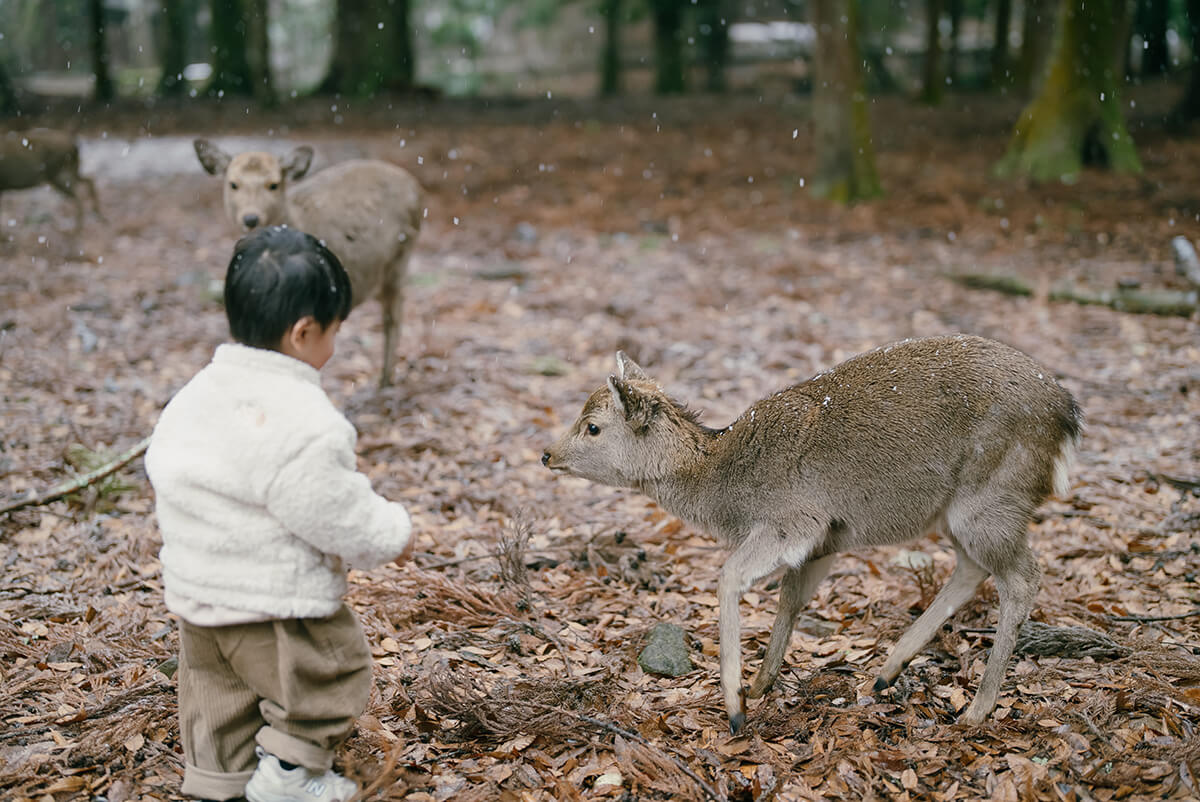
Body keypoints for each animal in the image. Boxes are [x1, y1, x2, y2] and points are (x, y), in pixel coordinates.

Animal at [194, 138, 424, 388]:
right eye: (233, 184)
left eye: (273, 184)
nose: (251, 218)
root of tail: (416, 188)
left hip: (401, 256)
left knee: (394, 314)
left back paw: (385, 382)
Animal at [540, 331, 1084, 734]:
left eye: (592, 426)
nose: (547, 454)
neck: (723, 488)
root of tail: (1068, 414)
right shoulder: (828, 539)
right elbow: (790, 599)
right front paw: (761, 684)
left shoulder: (796, 520)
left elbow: (730, 576)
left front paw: (735, 707)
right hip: (957, 511)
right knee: (974, 568)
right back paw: (885, 674)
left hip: (990, 497)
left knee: (1022, 577)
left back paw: (974, 710)